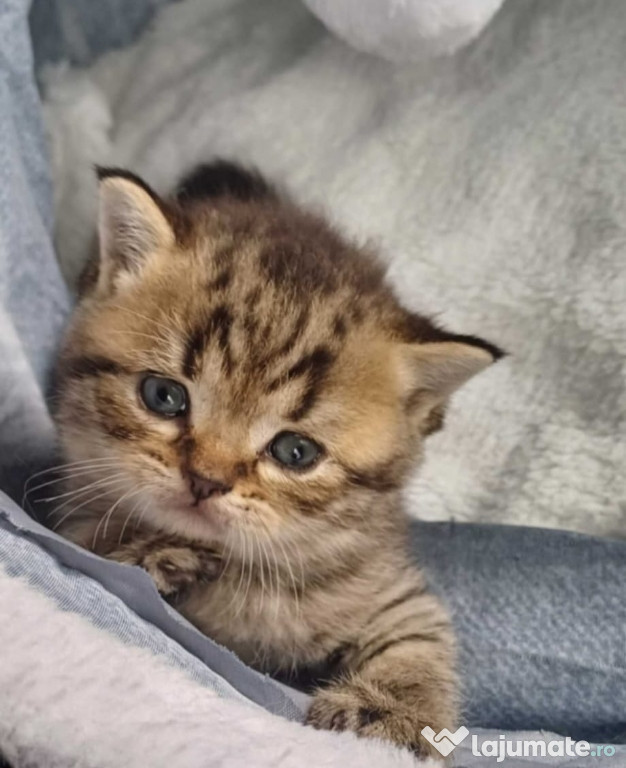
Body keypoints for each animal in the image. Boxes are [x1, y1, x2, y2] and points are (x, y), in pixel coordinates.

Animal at [53, 162, 502, 756]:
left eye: (295, 452)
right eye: (163, 396)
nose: (205, 480)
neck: (247, 571)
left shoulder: (387, 582)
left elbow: (420, 638)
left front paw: (395, 712)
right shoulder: (72, 509)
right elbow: (100, 545)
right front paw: (158, 551)